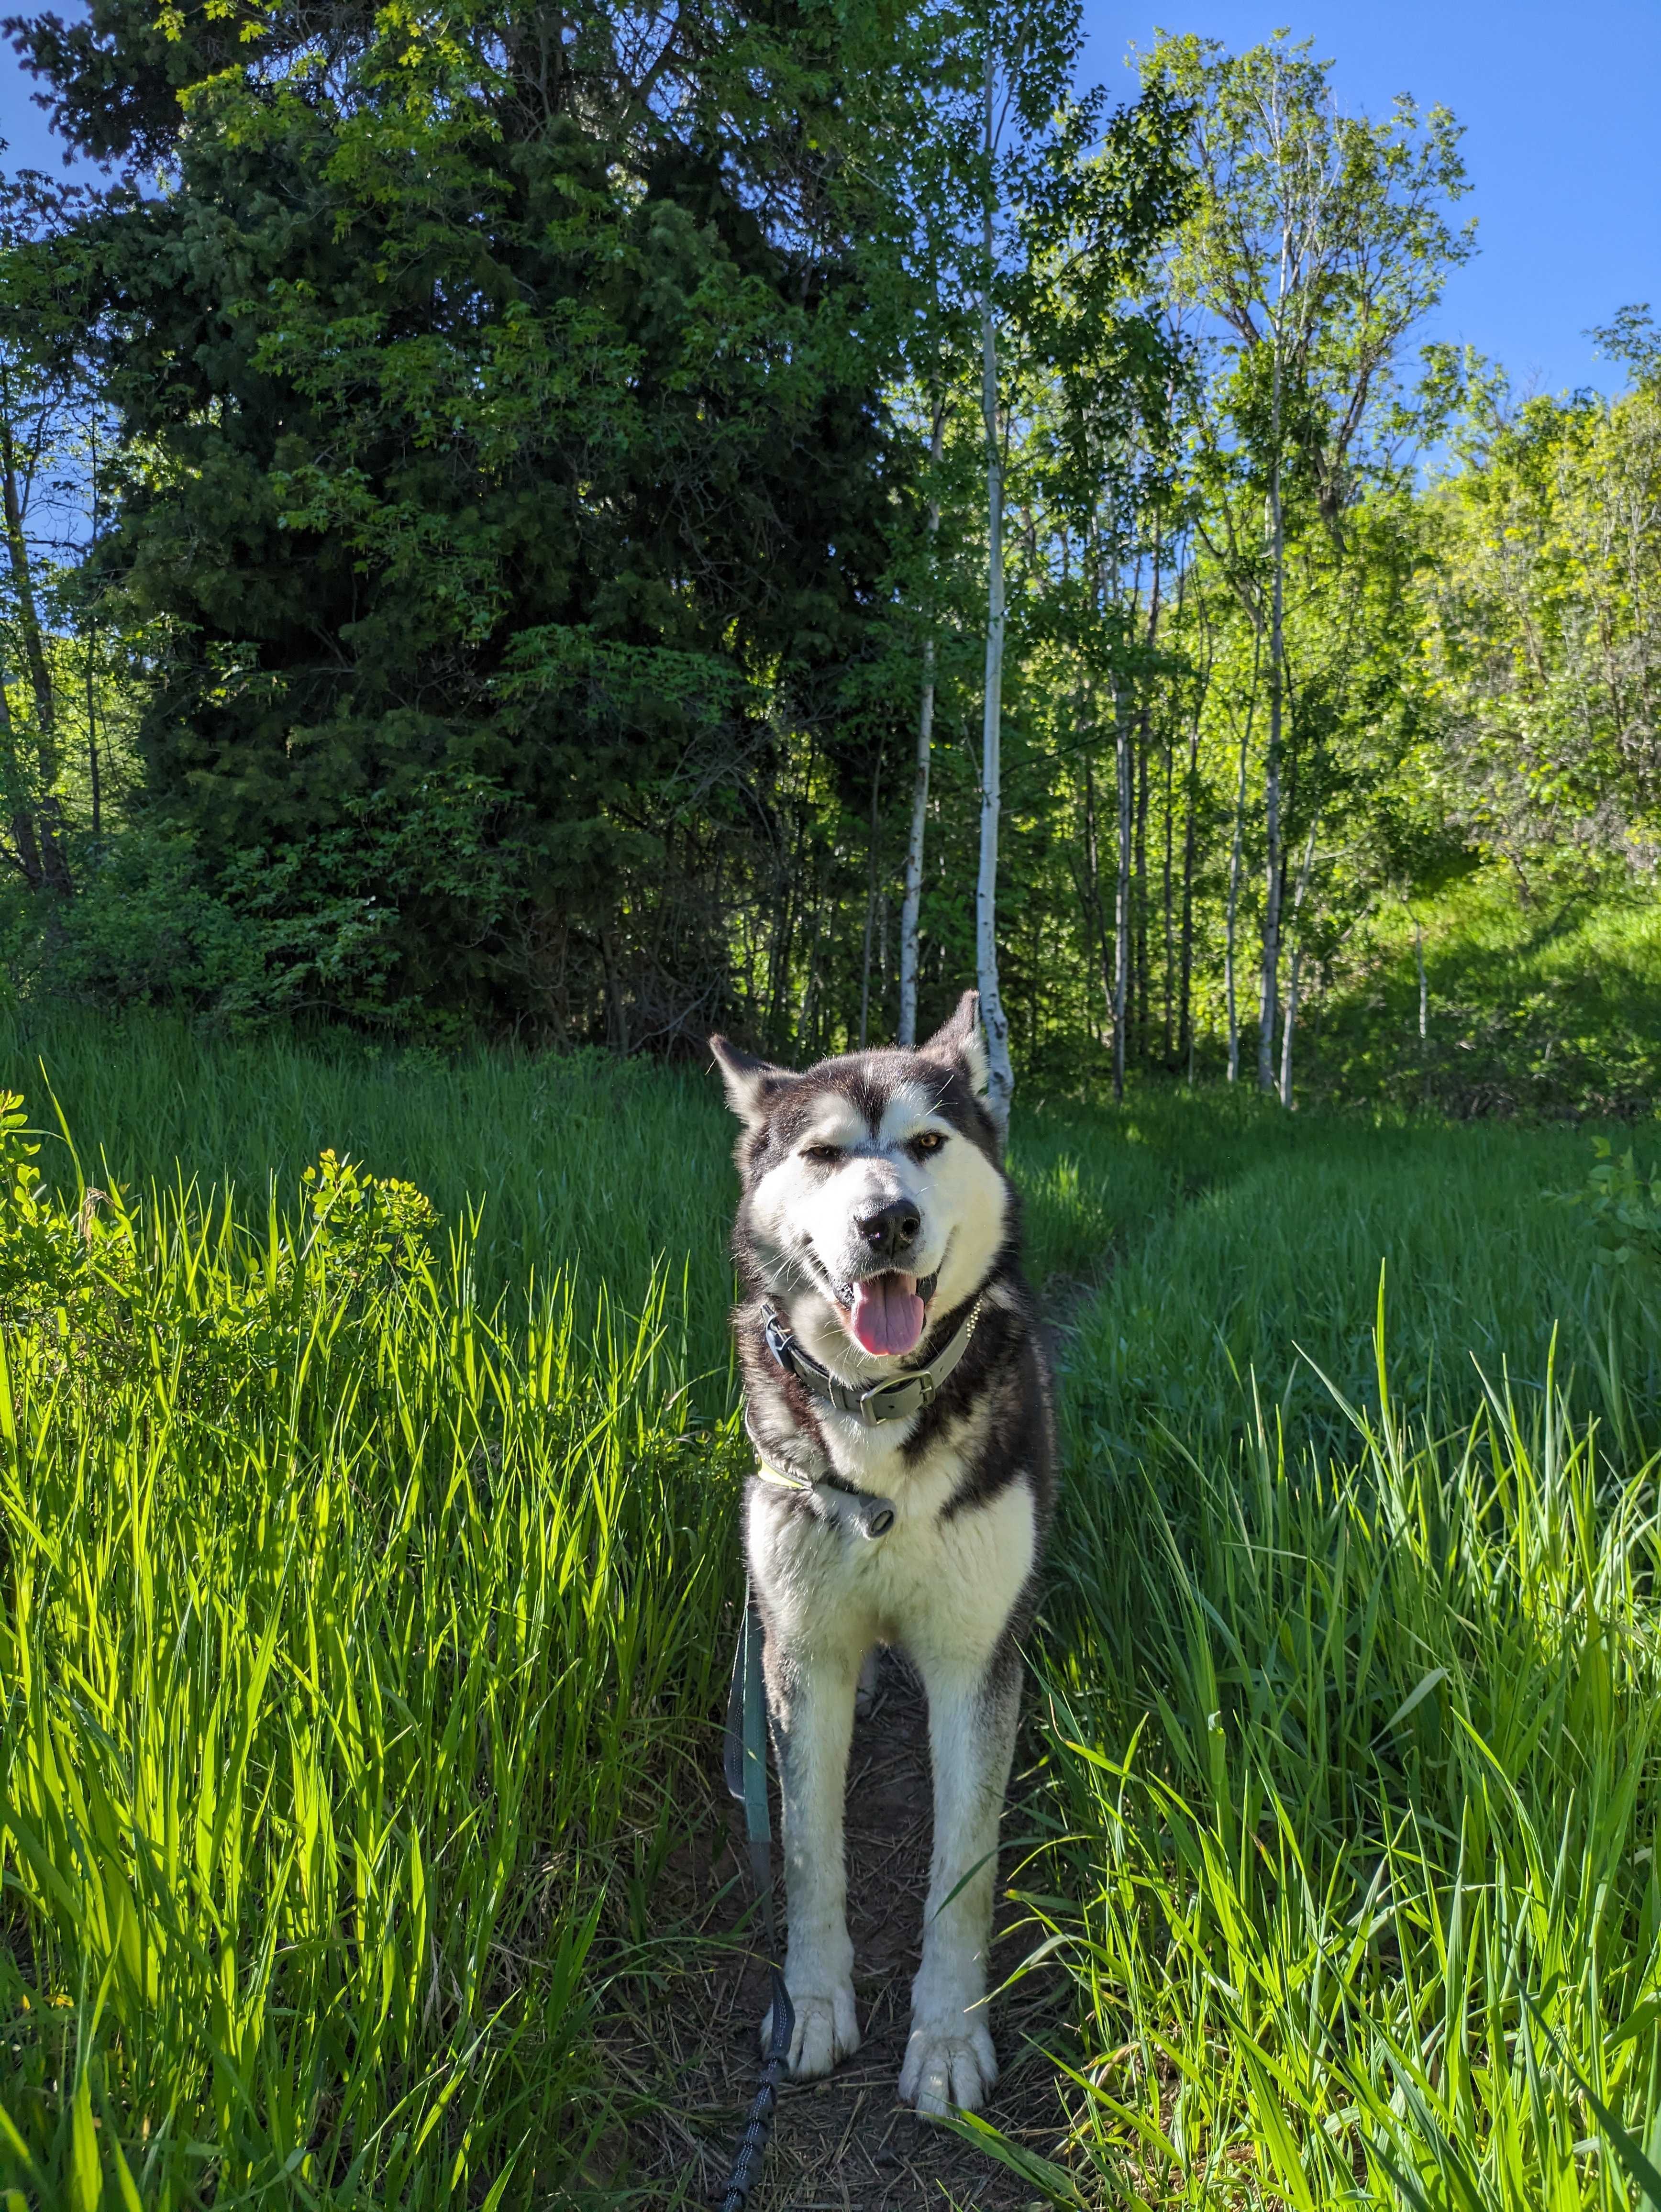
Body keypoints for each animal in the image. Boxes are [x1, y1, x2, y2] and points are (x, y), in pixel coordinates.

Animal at [712, 995, 1052, 2114]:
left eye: (926, 1143)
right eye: (822, 1152)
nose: (887, 1222)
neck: (877, 1408)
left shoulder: (974, 1661)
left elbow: (964, 1868)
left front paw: (946, 2036)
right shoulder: (800, 1654)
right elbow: (809, 1852)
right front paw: (811, 2005)